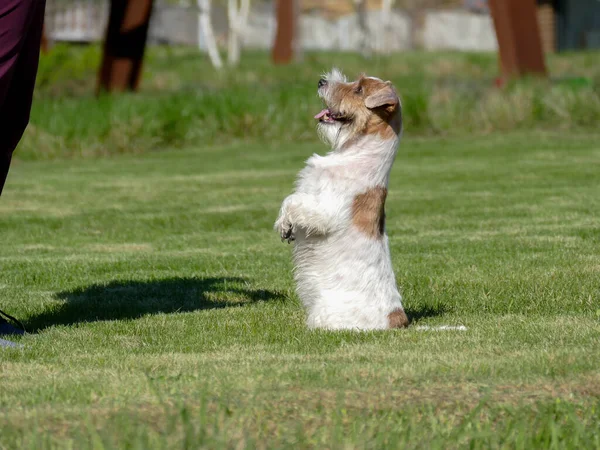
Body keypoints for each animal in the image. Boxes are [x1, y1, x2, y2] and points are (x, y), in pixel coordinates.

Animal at [276, 70, 408, 330]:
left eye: (359, 90)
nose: (321, 81)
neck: (356, 152)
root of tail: (396, 319)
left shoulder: (323, 210)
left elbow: (294, 202)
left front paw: (286, 224)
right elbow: (290, 199)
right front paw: (285, 227)